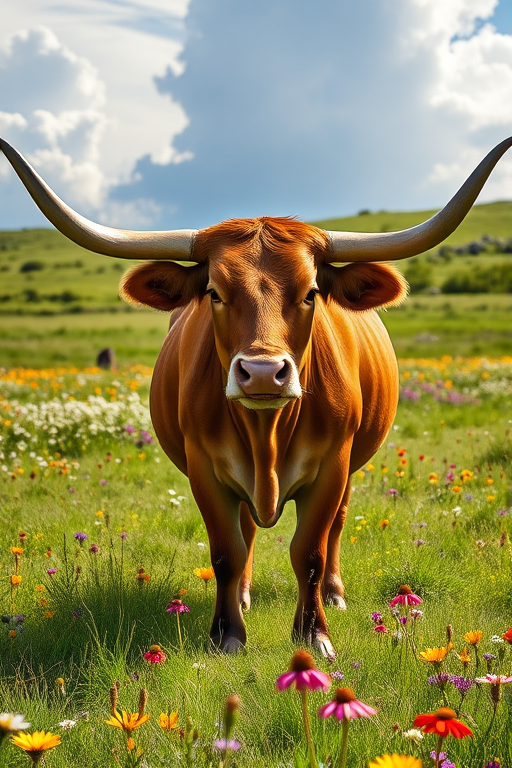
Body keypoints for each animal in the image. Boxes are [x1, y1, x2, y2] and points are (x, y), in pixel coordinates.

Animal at [1, 136, 511, 658]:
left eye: (310, 292)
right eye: (213, 291)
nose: (263, 372)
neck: (267, 434)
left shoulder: (333, 465)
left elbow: (310, 550)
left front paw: (315, 633)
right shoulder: (205, 467)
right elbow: (228, 550)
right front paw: (227, 633)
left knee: (337, 525)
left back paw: (335, 592)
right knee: (247, 530)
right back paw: (244, 595)